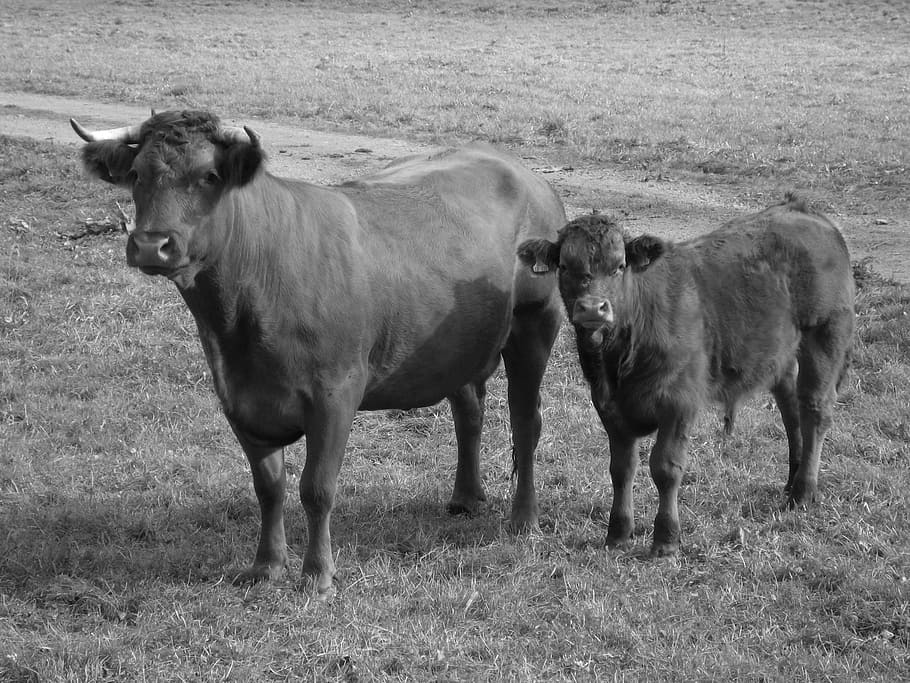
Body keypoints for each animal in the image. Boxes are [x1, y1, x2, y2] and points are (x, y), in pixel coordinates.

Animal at [71, 110, 565, 596]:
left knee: (526, 421)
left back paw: (524, 519)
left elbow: (317, 488)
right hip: (457, 346)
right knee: (468, 411)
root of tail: (524, 173)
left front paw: (318, 575)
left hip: (535, 326)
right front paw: (267, 566)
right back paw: (465, 498)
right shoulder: (237, 397)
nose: (150, 244)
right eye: (137, 174)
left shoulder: (336, 393)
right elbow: (269, 487)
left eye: (209, 175)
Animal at [517, 195, 855, 557]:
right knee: (791, 409)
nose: (593, 308)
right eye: (565, 266)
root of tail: (802, 210)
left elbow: (665, 468)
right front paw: (618, 533)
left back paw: (804, 491)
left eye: (619, 266)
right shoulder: (609, 407)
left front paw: (666, 538)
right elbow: (621, 469)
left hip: (826, 333)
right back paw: (792, 482)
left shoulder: (679, 402)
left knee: (815, 410)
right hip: (781, 352)